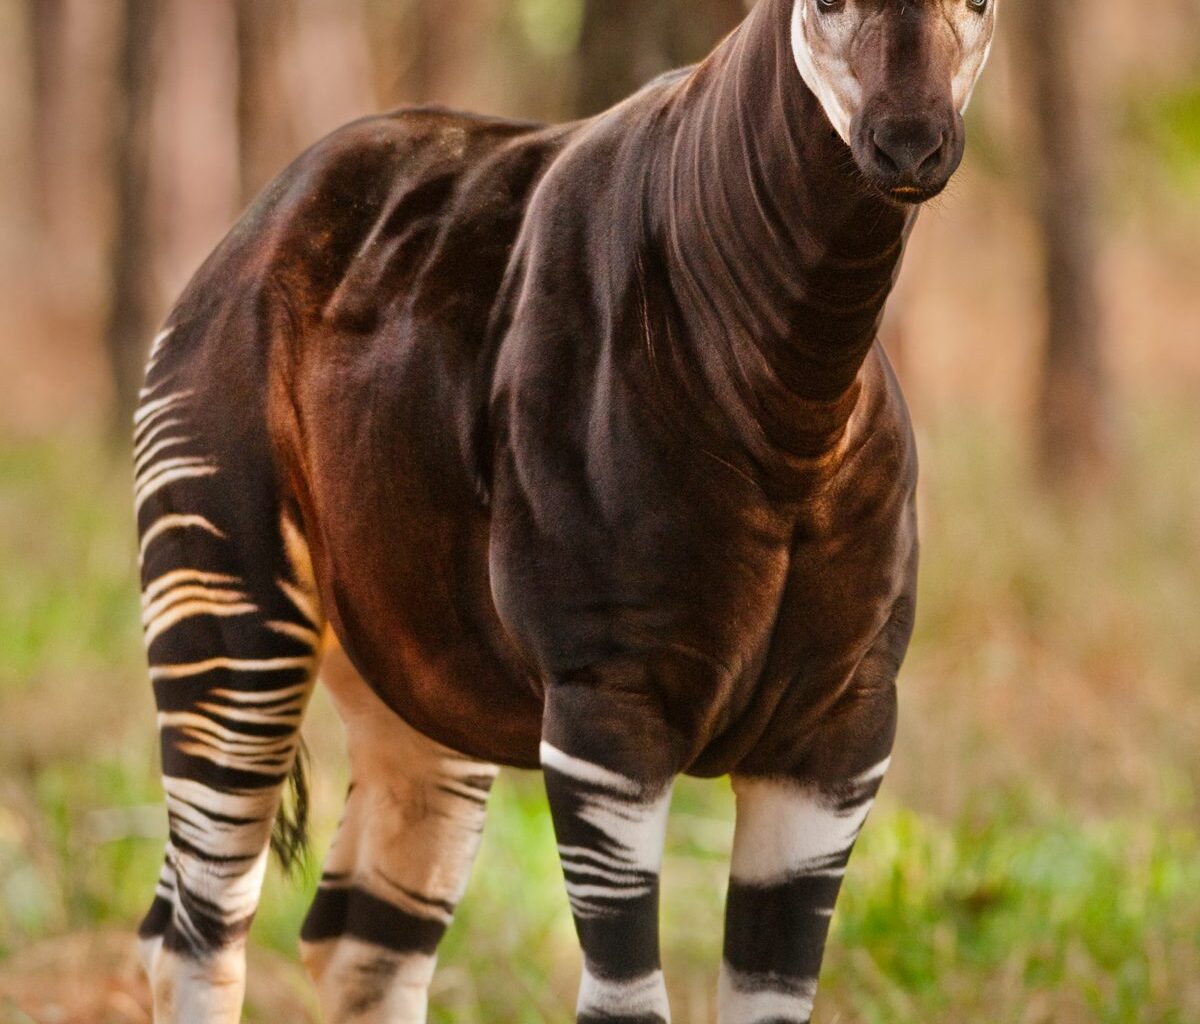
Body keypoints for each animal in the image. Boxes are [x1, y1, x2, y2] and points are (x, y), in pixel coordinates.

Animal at [133, 0, 997, 1020]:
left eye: (982, 4)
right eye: (823, 4)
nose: (909, 144)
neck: (790, 406)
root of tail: (248, 232)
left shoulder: (840, 729)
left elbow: (769, 999)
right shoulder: (607, 704)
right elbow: (626, 1001)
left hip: (415, 683)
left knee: (355, 946)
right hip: (229, 611)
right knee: (203, 934)